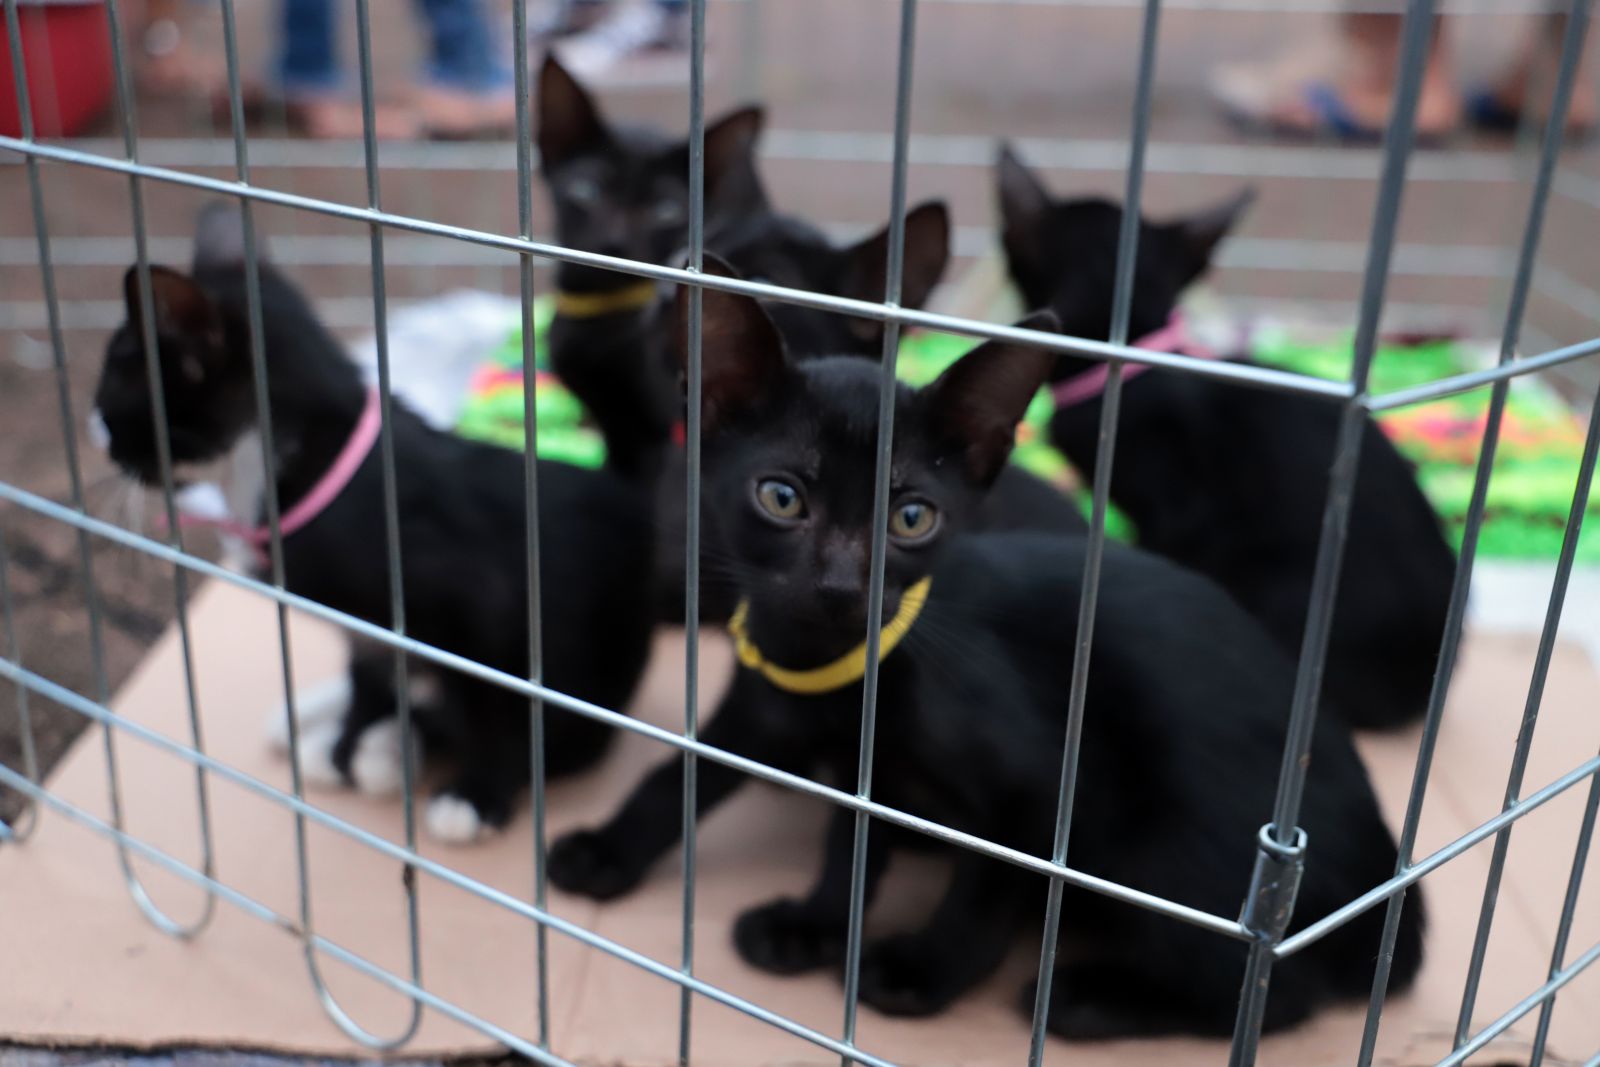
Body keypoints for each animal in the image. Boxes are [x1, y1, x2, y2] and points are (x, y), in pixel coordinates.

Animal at [92, 202, 656, 844]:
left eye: (113, 402)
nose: (101, 439)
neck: (308, 466)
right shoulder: (369, 630)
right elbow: (368, 677)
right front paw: (343, 745)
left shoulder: (482, 608)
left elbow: (503, 704)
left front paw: (477, 793)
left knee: (566, 734)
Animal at [553, 271, 1427, 1036]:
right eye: (781, 497)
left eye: (911, 516)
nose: (841, 584)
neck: (835, 676)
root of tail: (1388, 901)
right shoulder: (787, 719)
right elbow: (716, 791)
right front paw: (801, 919)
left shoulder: (1049, 784)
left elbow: (991, 883)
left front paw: (922, 970)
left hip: (1169, 847)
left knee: (1274, 991)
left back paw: (1092, 997)